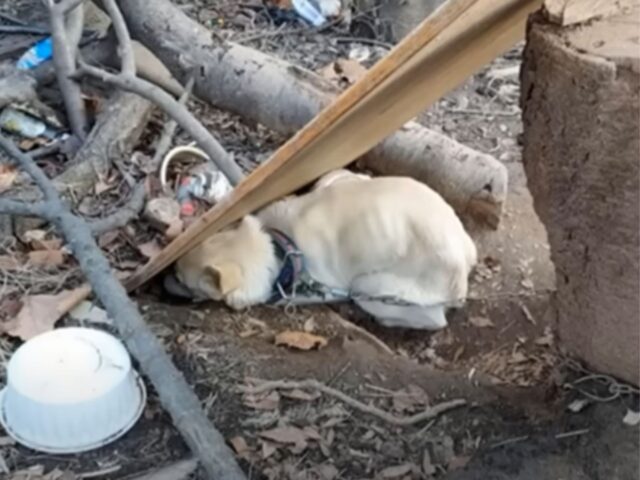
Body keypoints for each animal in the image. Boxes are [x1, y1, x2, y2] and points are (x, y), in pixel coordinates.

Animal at [170, 170, 476, 330]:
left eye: (186, 284)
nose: (163, 283)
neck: (279, 246)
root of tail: (463, 256)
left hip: (368, 287)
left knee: (433, 321)